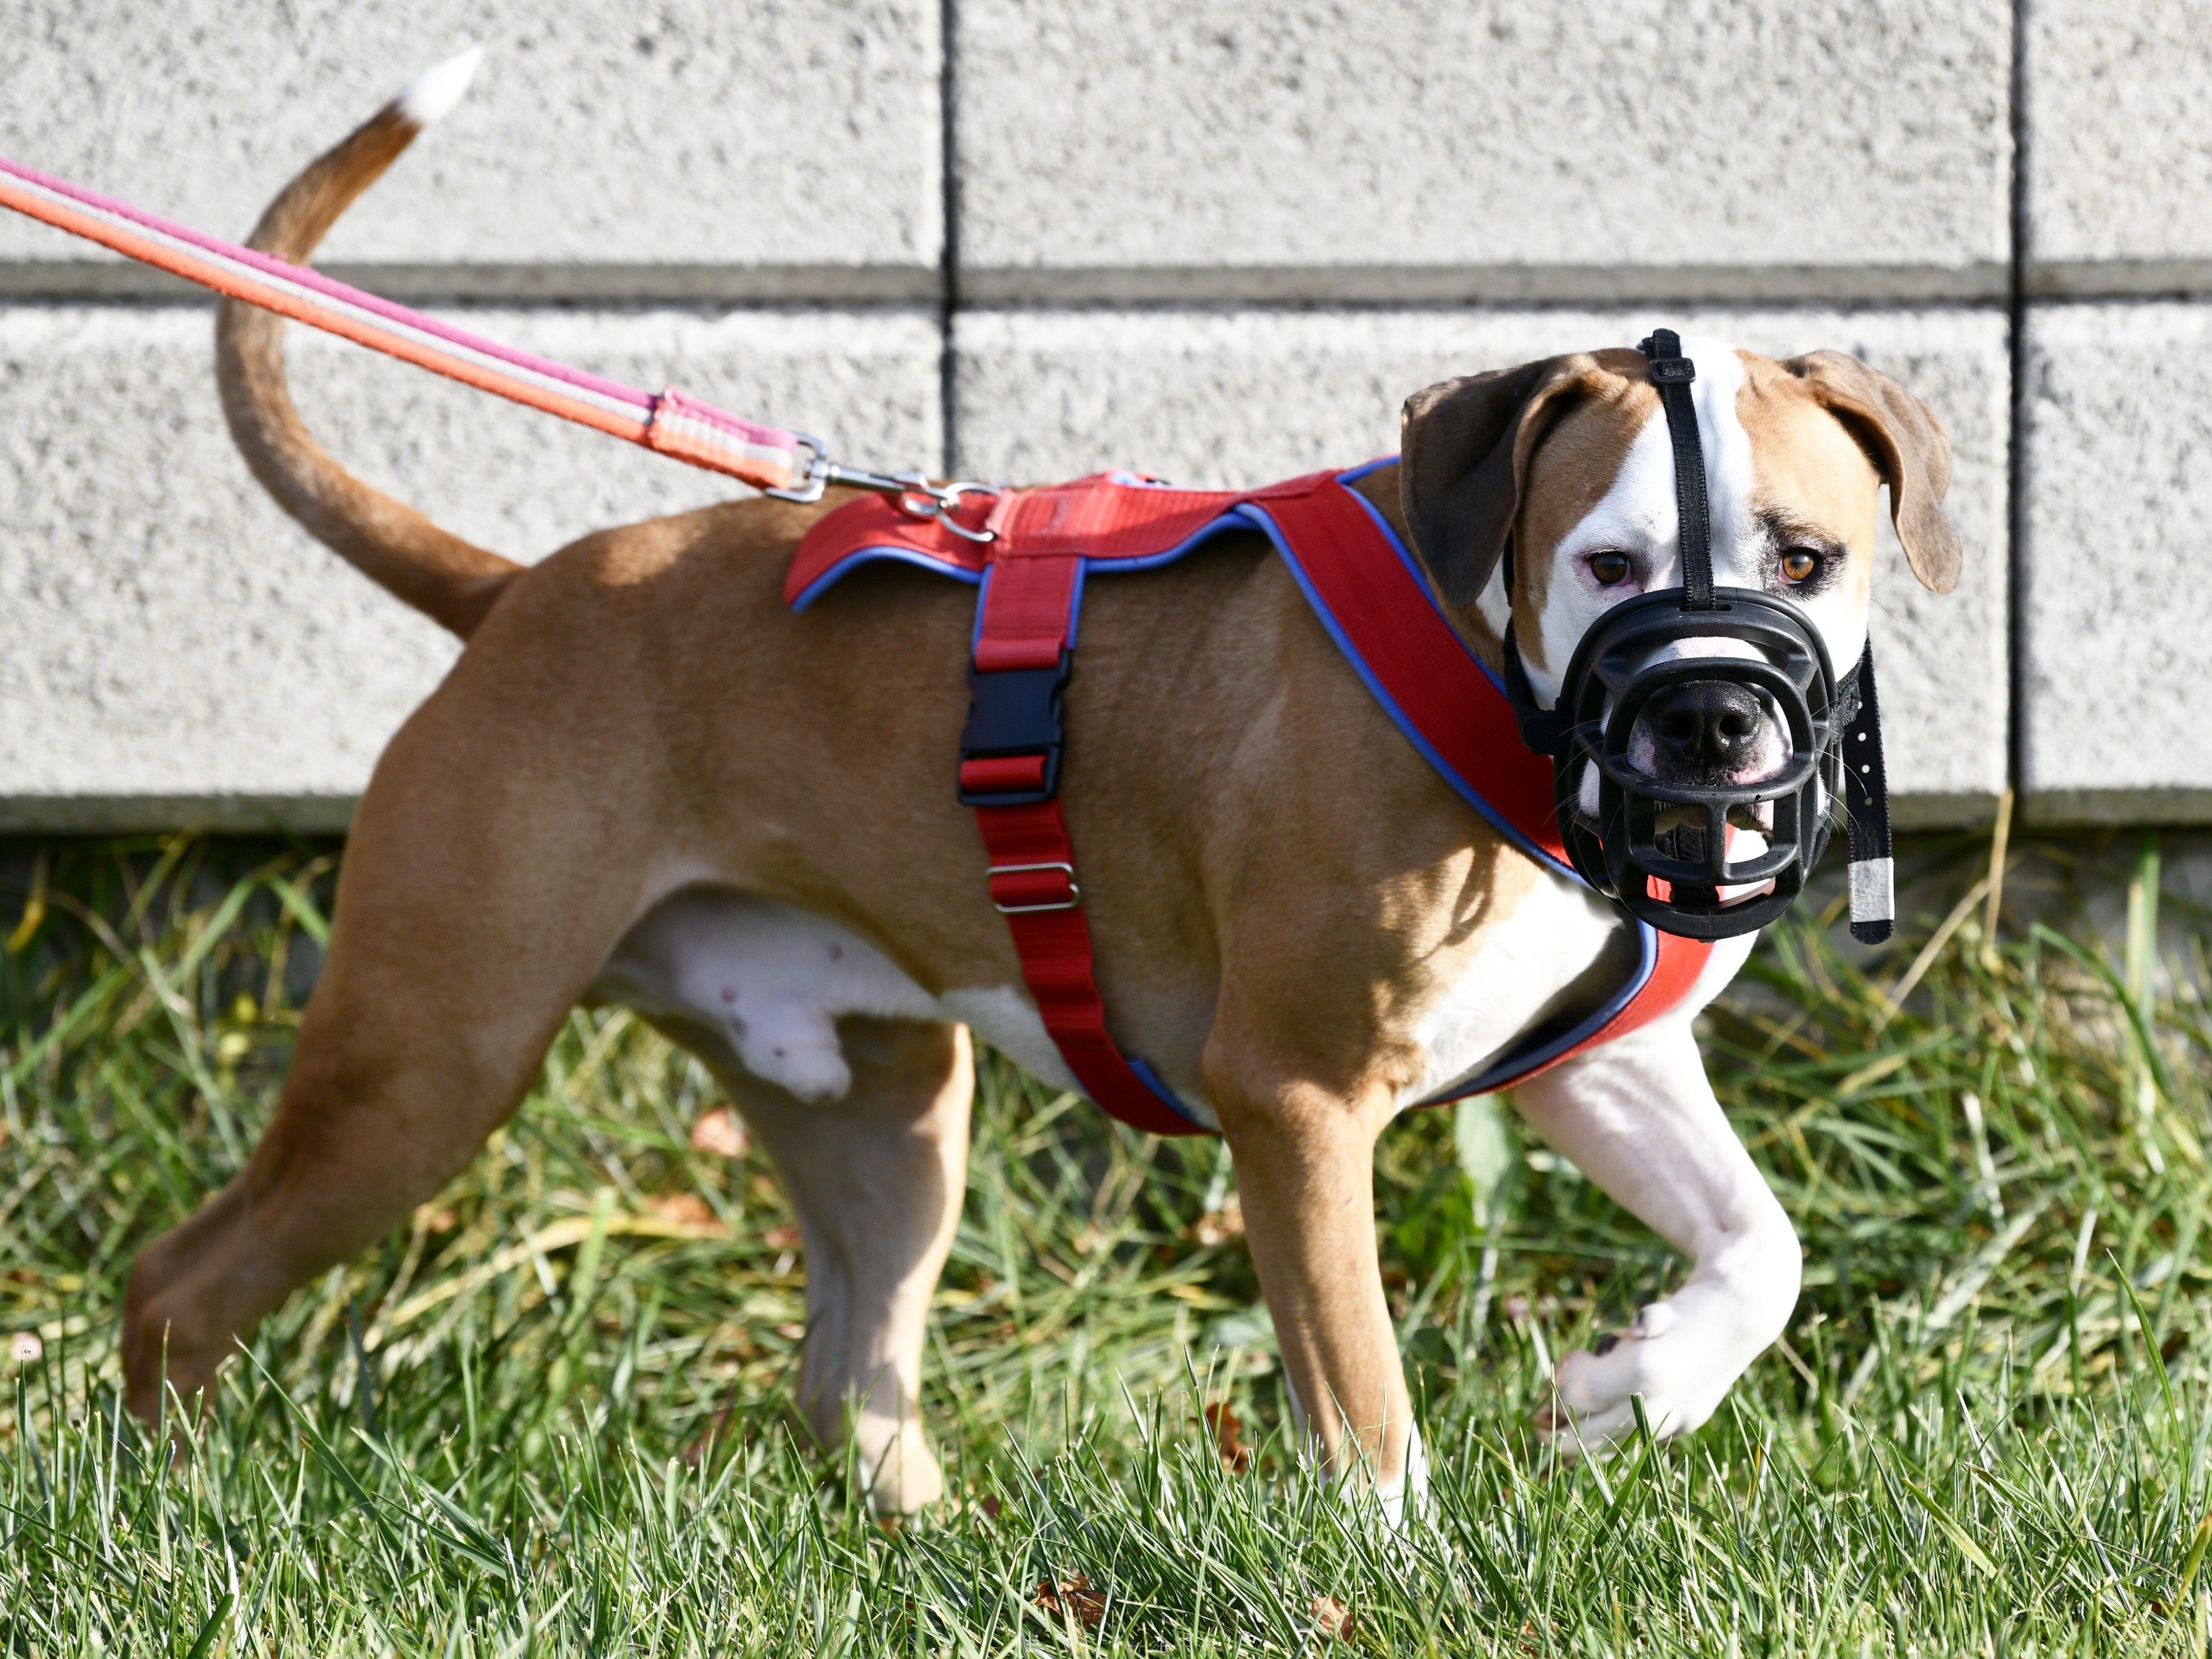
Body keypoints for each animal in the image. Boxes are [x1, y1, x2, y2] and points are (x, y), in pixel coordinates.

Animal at [116, 55, 1955, 1521]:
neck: (1495, 679)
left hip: (887, 1123)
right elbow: (1361, 1402)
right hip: (429, 1057)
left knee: (849, 1374)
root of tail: (512, 594)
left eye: (1804, 556)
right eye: (1606, 562)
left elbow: (1761, 1248)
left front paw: (1636, 1386)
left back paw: (932, 1543)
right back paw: (166, 1500)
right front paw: (1405, 1572)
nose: (1708, 718)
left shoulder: (1597, 1063)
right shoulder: (1295, 1102)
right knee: (185, 1280)